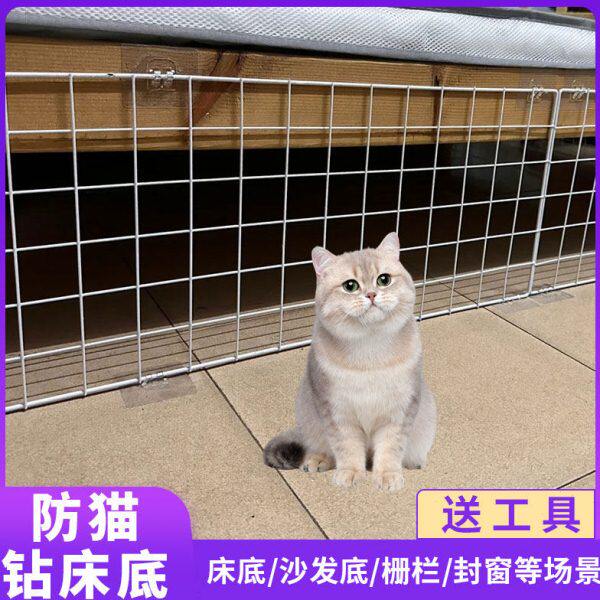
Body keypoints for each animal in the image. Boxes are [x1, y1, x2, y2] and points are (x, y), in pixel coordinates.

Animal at [263, 232, 436, 492]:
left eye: (383, 280)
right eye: (350, 286)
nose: (372, 295)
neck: (369, 351)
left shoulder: (399, 411)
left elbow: (390, 448)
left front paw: (387, 476)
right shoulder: (337, 412)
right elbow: (347, 447)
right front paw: (351, 474)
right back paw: (318, 460)